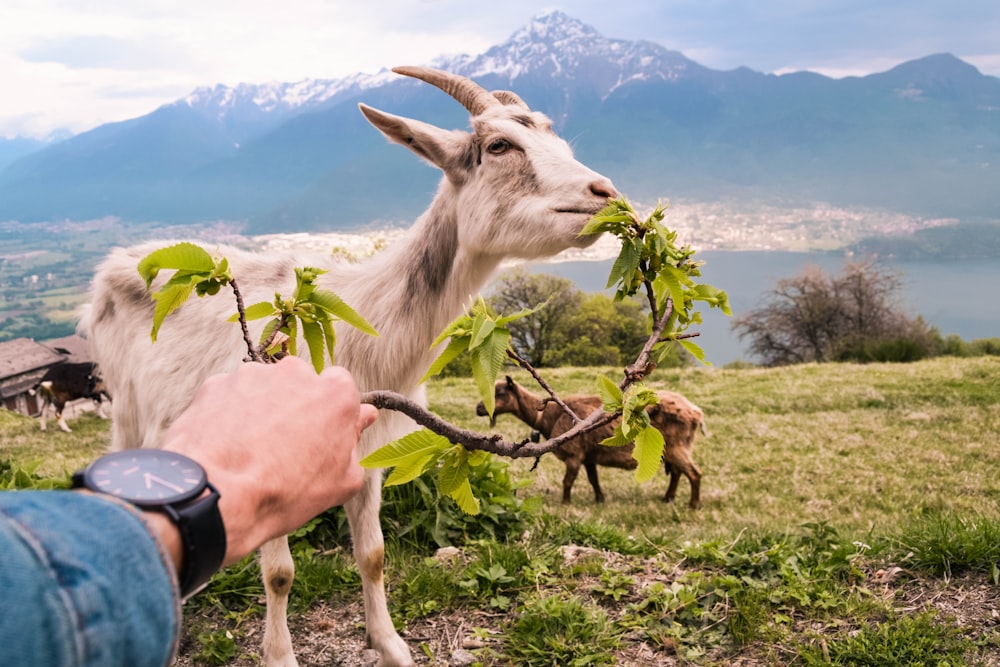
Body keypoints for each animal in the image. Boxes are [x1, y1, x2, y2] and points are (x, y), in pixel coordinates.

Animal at [82, 66, 616, 667]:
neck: (367, 321)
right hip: (126, 407)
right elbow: (280, 572)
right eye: (500, 145)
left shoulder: (368, 451)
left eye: (556, 136)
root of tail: (114, 263)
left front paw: (392, 646)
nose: (605, 194)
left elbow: (374, 555)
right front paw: (280, 656)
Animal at [474, 376, 704, 506]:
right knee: (677, 472)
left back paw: (693, 505)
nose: (478, 408)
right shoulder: (589, 457)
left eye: (500, 392)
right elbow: (594, 480)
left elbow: (567, 481)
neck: (550, 415)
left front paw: (565, 504)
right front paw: (600, 500)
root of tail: (696, 412)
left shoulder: (574, 454)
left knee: (694, 473)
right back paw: (668, 498)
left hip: (677, 446)